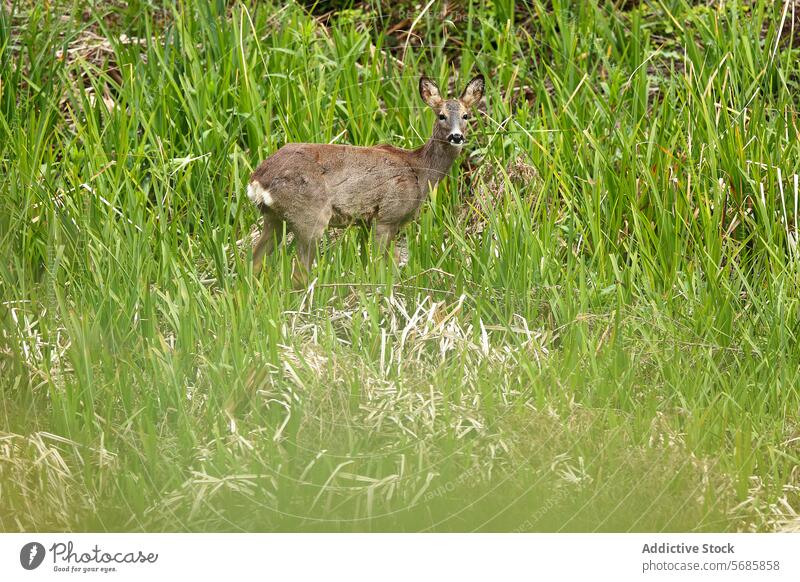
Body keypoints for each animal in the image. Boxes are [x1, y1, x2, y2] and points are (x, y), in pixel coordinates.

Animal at [245, 74, 482, 284]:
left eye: (466, 115)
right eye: (441, 115)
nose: (456, 136)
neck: (419, 170)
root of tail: (257, 179)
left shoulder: (369, 222)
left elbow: (383, 263)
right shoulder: (387, 215)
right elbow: (380, 266)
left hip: (273, 218)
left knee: (254, 261)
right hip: (310, 215)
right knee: (298, 273)